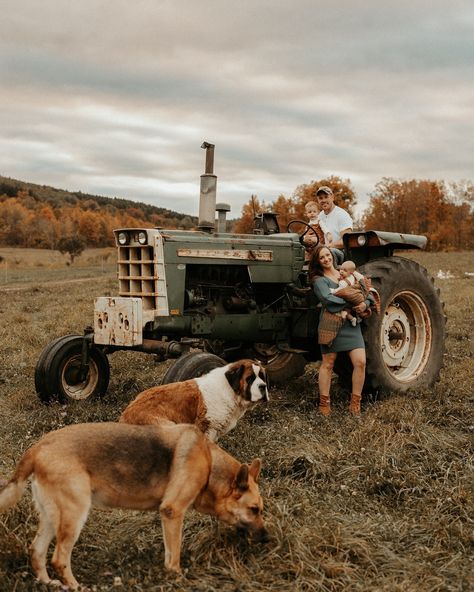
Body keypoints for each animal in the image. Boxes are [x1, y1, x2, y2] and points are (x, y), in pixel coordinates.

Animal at [0, 424, 266, 588]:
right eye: (254, 510)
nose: (267, 538)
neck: (210, 464)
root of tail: (37, 447)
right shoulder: (173, 512)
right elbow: (175, 555)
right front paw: (177, 579)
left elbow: (169, 553)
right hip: (74, 516)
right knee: (58, 559)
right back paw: (75, 586)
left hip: (51, 518)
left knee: (37, 551)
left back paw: (48, 583)